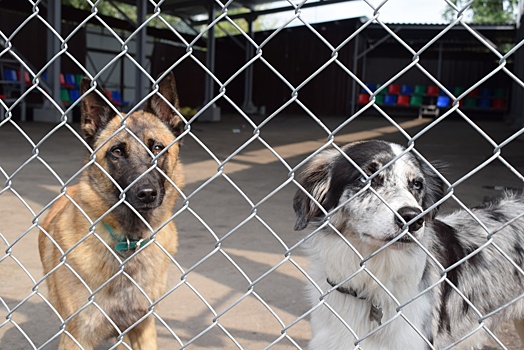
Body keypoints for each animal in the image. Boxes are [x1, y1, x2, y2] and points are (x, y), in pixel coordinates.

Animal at [37, 72, 184, 348]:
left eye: (157, 148)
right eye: (117, 151)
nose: (147, 193)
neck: (128, 243)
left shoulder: (144, 328)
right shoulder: (76, 337)